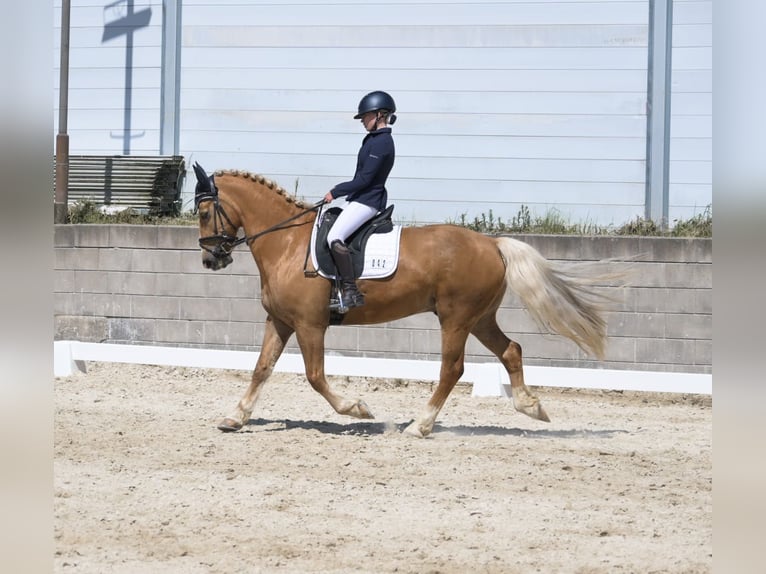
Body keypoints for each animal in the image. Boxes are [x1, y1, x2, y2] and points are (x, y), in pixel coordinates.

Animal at [194, 164, 616, 438]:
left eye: (202, 211)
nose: (211, 260)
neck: (286, 242)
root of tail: (492, 243)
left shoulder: (309, 324)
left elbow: (314, 376)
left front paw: (357, 408)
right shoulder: (279, 321)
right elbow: (261, 369)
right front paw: (235, 418)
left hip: (456, 319)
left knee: (452, 369)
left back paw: (420, 425)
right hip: (480, 318)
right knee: (511, 350)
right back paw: (531, 407)